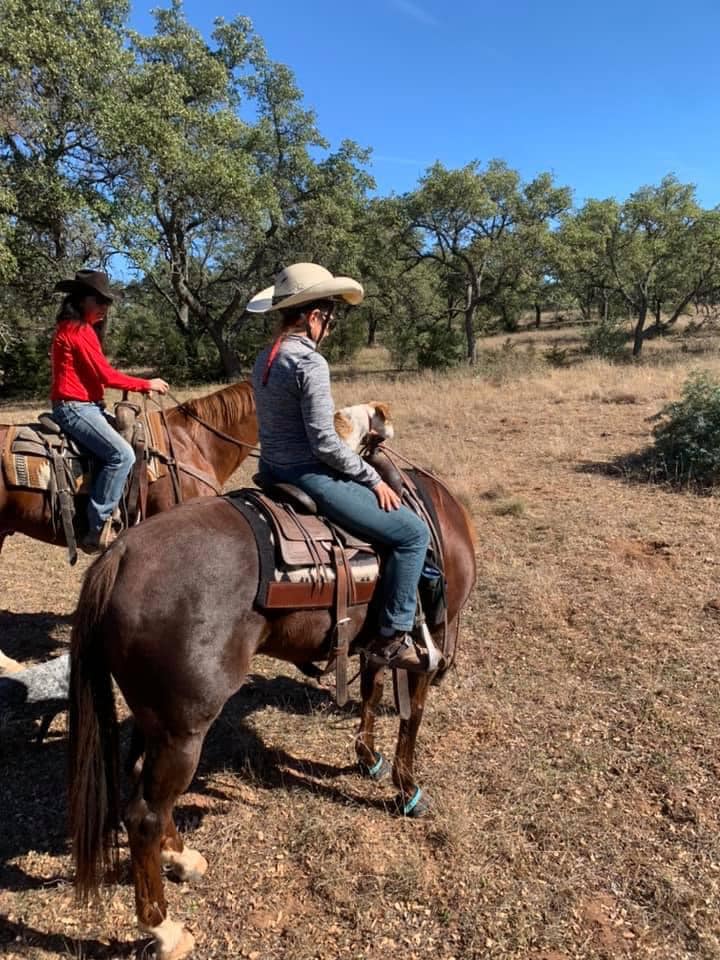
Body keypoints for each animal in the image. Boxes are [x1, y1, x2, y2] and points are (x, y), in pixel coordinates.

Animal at [69, 470, 478, 960]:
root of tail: (120, 555)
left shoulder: (376, 644)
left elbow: (371, 691)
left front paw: (368, 758)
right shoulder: (429, 639)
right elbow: (410, 718)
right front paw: (409, 789)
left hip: (155, 722)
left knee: (145, 789)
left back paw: (181, 858)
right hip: (181, 732)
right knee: (144, 816)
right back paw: (165, 929)